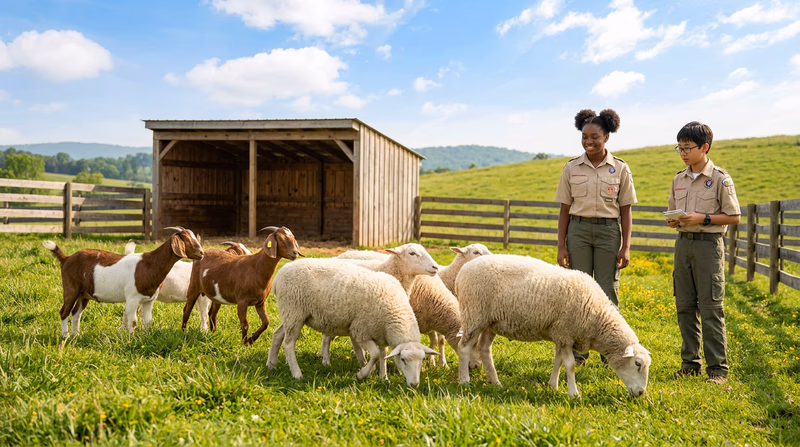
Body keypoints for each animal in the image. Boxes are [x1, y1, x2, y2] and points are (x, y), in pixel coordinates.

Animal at [43, 227, 204, 337]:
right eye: (188, 240)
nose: (202, 253)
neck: (150, 264)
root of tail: (66, 258)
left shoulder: (149, 300)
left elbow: (147, 321)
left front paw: (146, 337)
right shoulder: (132, 298)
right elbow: (133, 321)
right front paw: (131, 339)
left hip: (84, 294)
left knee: (76, 313)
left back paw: (76, 335)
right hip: (71, 288)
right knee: (64, 311)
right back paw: (65, 336)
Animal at [267, 258, 440, 387]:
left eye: (423, 360)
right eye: (403, 360)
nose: (414, 384)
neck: (396, 312)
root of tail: (279, 275)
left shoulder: (381, 333)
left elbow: (383, 354)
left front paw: (383, 377)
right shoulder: (360, 331)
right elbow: (375, 355)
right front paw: (362, 374)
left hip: (292, 315)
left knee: (277, 334)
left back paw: (271, 365)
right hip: (294, 310)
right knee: (288, 343)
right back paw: (297, 374)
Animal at [456, 254, 651, 398]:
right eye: (637, 363)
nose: (641, 393)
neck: (597, 318)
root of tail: (463, 271)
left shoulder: (560, 335)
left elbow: (558, 361)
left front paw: (553, 386)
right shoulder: (566, 333)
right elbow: (570, 365)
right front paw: (574, 394)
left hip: (490, 322)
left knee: (484, 349)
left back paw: (495, 382)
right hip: (474, 315)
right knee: (464, 347)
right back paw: (465, 381)